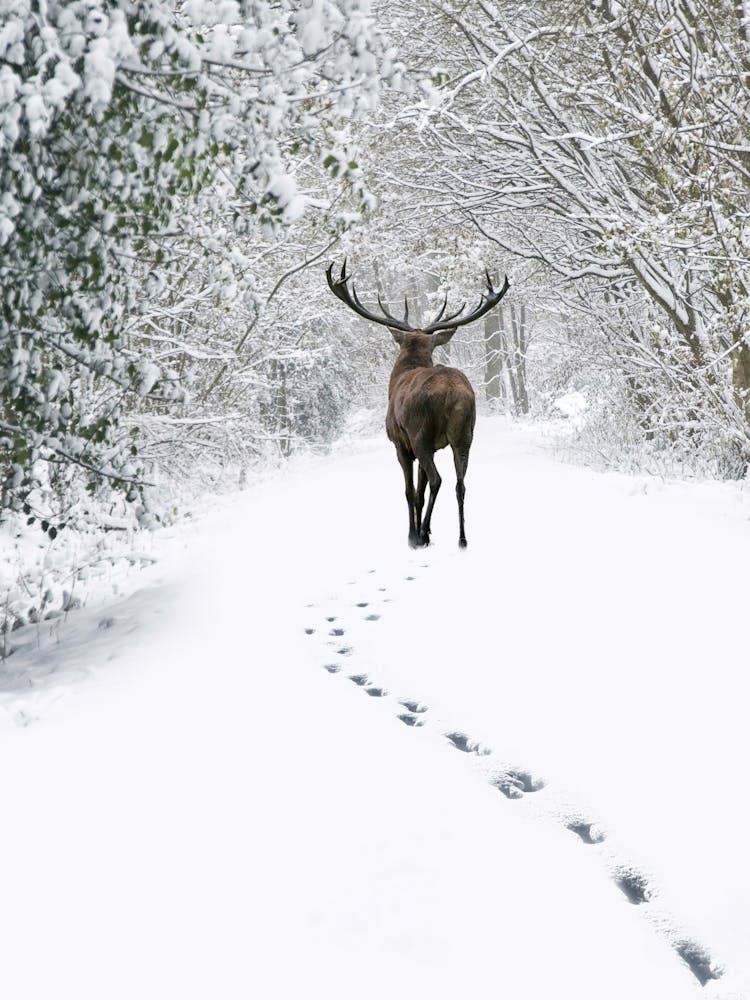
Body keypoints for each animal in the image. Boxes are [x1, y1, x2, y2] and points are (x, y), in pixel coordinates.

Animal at [326, 261, 510, 548]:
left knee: (437, 479)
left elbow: (410, 491)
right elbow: (420, 492)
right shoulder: (434, 446)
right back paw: (461, 538)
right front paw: (429, 530)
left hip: (420, 433)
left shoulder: (400, 443)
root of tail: (452, 393)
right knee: (460, 483)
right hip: (465, 434)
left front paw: (412, 534)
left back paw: (420, 534)